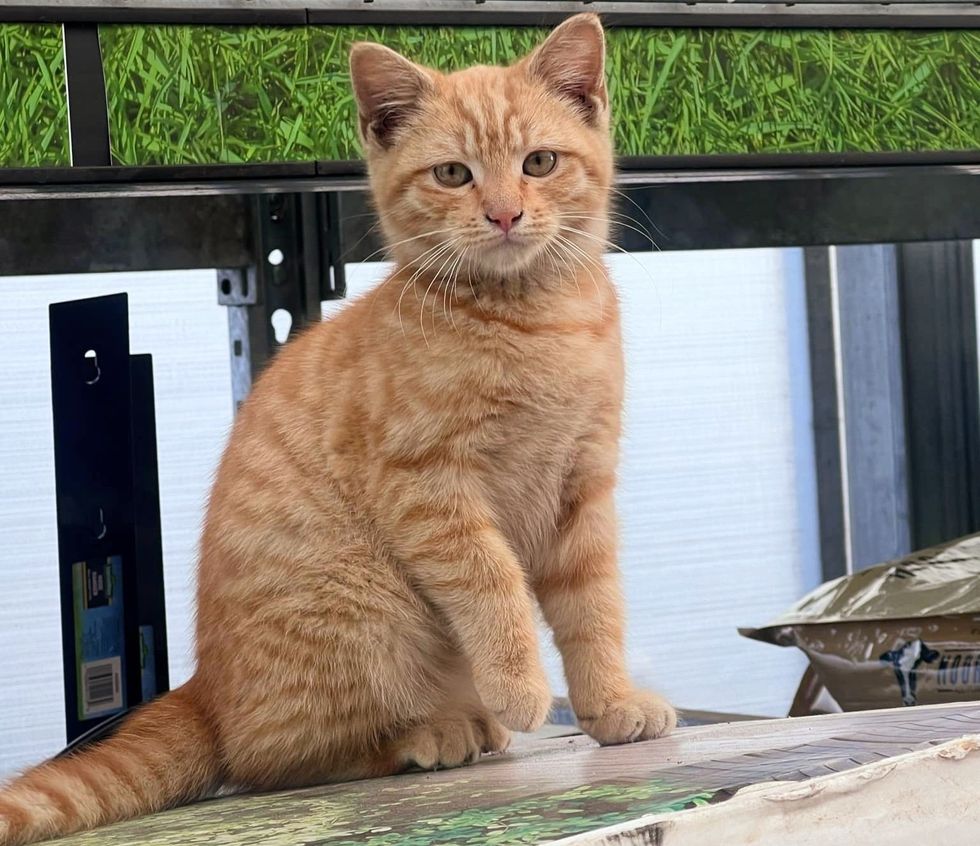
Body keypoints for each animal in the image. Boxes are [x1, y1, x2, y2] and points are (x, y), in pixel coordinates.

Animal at [0, 14, 672, 846]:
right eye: (453, 175)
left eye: (539, 162)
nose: (505, 214)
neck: (534, 319)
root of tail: (203, 686)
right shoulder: (430, 488)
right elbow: (494, 588)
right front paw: (520, 687)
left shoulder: (583, 482)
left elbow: (594, 606)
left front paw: (610, 705)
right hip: (364, 612)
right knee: (272, 760)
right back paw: (436, 731)